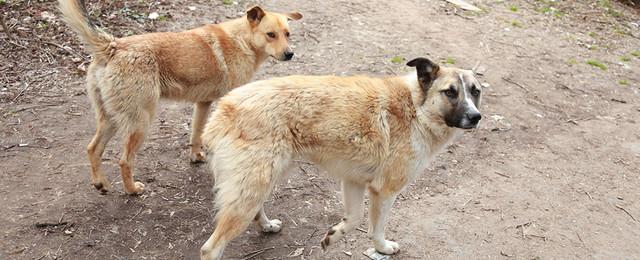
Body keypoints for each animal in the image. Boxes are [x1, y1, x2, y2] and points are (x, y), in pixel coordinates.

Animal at [57, 0, 302, 195]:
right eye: (271, 34)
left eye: (288, 34)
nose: (290, 54)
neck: (241, 40)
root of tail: (113, 45)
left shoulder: (203, 103)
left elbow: (196, 134)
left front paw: (196, 157)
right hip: (140, 123)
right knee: (124, 161)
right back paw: (132, 190)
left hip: (110, 120)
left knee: (93, 149)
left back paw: (101, 184)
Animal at [199, 57, 480, 258]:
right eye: (450, 92)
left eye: (475, 92)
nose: (476, 117)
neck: (416, 109)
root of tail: (223, 110)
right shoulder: (385, 191)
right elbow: (376, 228)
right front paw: (383, 248)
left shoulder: (353, 181)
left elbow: (354, 219)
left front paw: (333, 235)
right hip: (251, 189)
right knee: (209, 249)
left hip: (263, 180)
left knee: (256, 209)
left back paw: (267, 225)